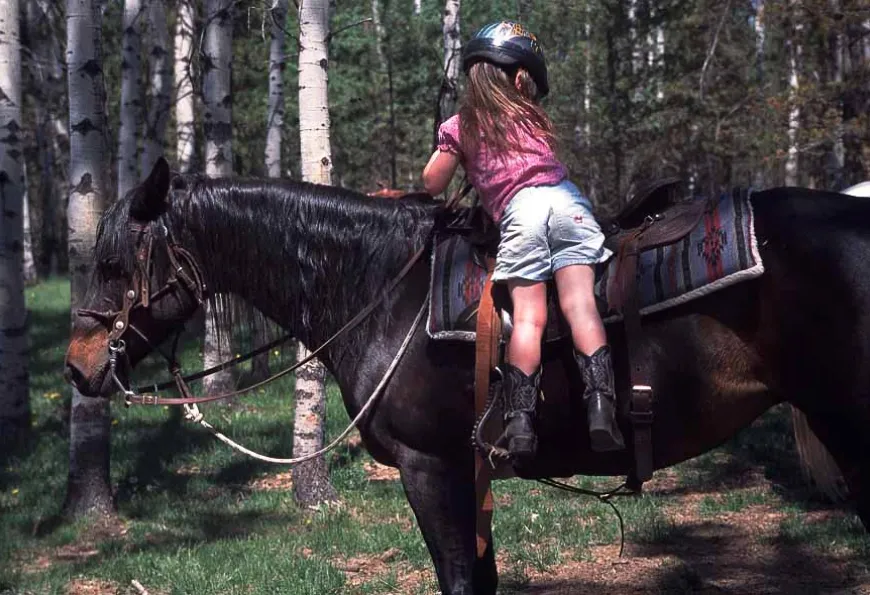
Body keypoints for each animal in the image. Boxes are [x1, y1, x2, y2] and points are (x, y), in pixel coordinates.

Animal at [65, 157, 870, 595]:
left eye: (113, 264)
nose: (77, 367)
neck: (385, 289)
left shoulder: (431, 467)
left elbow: (455, 576)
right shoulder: (470, 469)